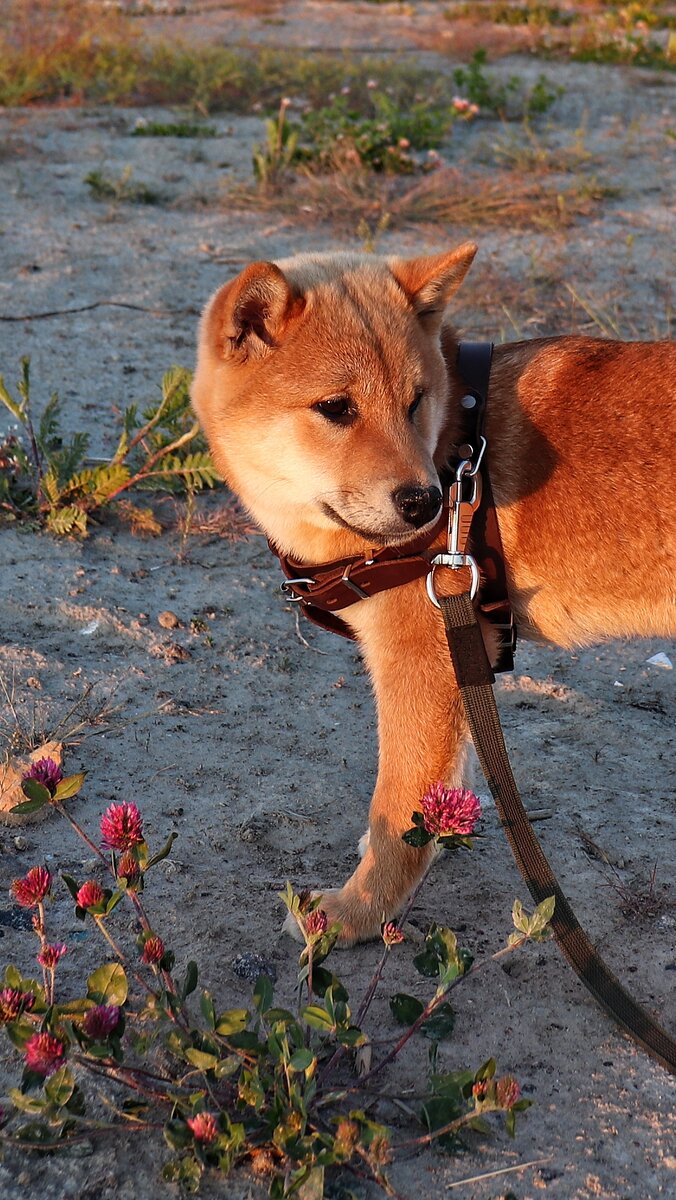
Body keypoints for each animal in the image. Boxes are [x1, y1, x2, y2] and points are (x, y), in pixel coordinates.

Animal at [189, 243, 676, 945]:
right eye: (336, 408)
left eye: (416, 400)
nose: (423, 502)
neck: (455, 440)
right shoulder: (458, 651)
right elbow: (440, 786)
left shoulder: (420, 660)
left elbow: (396, 810)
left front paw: (357, 912)